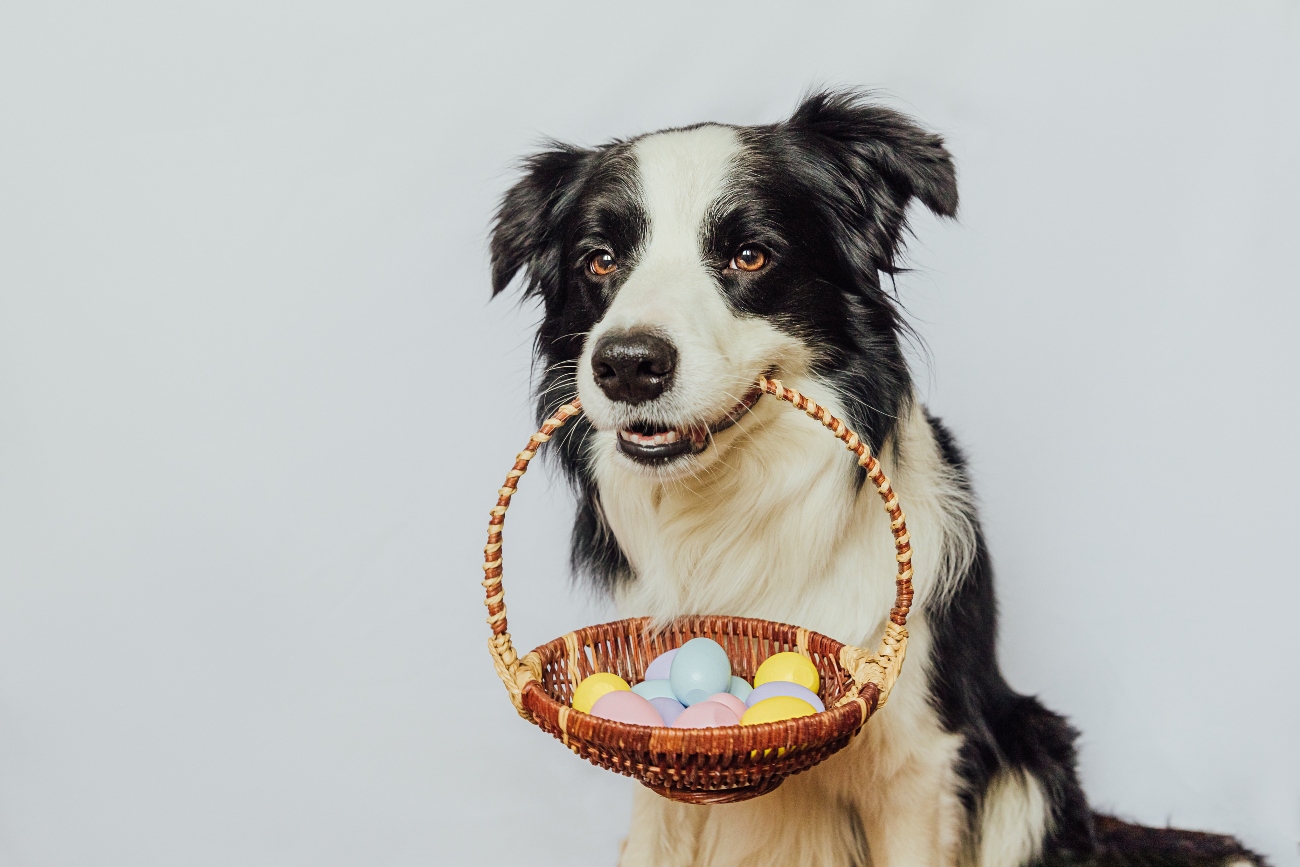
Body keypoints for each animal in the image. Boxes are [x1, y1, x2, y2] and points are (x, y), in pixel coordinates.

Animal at [488, 91, 1268, 863]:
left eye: (749, 254)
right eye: (599, 262)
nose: (626, 365)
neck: (736, 511)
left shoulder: (919, 764)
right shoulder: (661, 775)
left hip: (1027, 761)